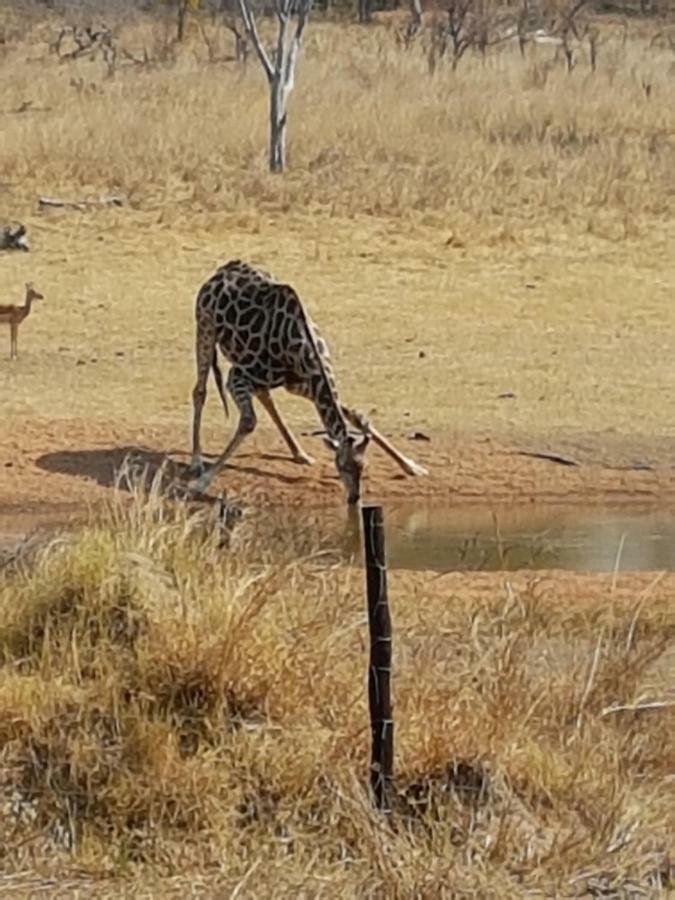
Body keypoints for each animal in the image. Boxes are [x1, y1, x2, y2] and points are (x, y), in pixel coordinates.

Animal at [187, 258, 428, 506]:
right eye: (341, 466)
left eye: (363, 467)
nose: (354, 498)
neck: (302, 348)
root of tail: (223, 269)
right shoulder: (237, 375)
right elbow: (248, 421)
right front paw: (202, 482)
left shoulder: (307, 385)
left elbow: (357, 416)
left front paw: (411, 466)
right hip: (205, 328)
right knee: (200, 391)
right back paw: (196, 460)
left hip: (278, 381)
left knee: (265, 396)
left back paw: (300, 454)